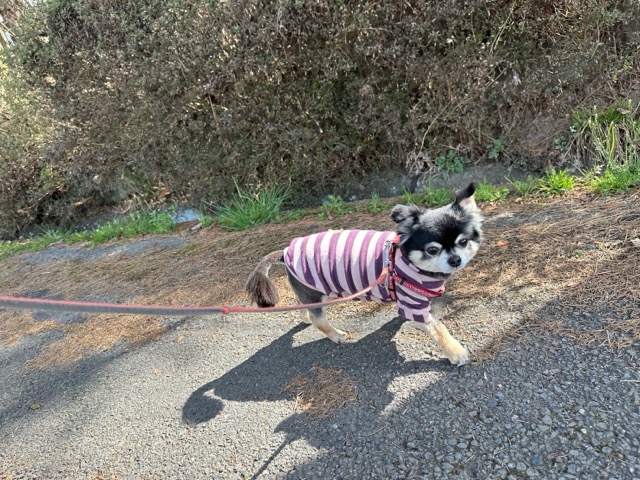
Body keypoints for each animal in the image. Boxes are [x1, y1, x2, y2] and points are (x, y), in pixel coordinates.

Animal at [246, 183, 483, 366]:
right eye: (432, 250)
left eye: (463, 242)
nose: (455, 260)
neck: (406, 261)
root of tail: (286, 250)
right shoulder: (412, 302)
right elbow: (437, 326)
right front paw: (455, 352)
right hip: (316, 292)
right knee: (318, 319)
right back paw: (336, 335)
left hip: (310, 289)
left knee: (305, 307)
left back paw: (305, 317)